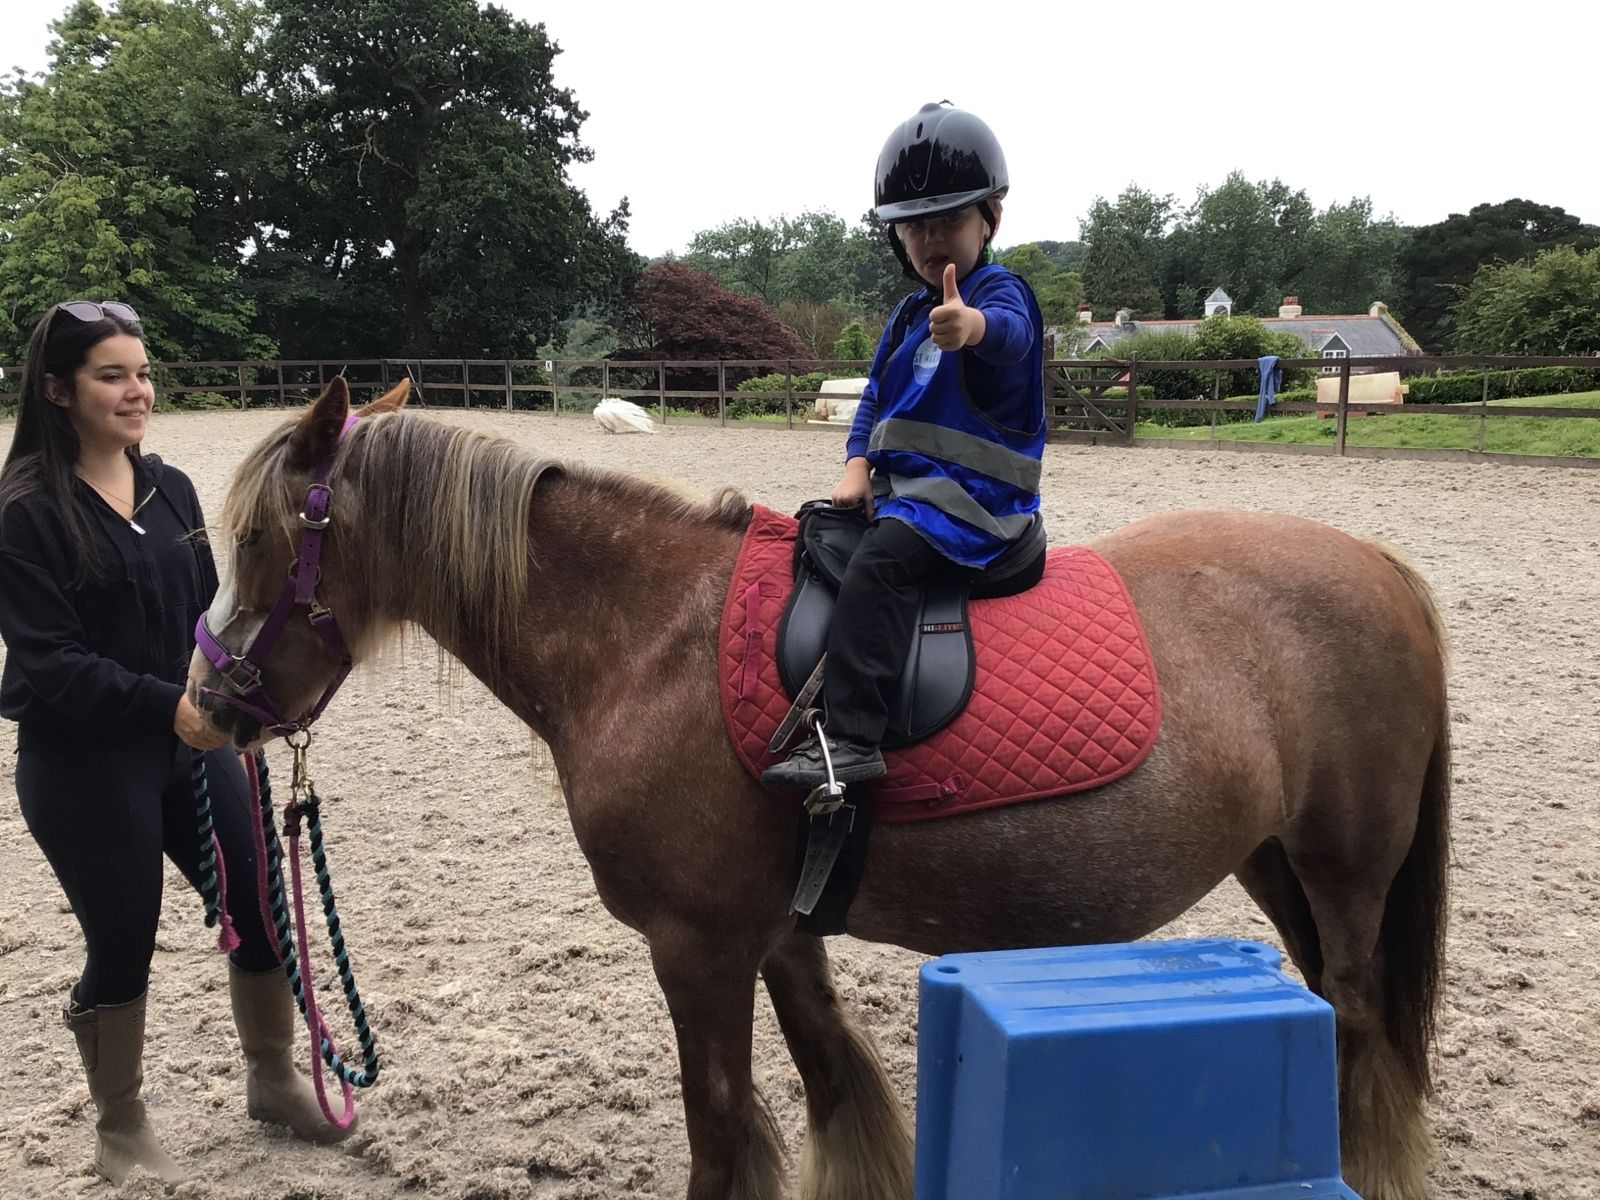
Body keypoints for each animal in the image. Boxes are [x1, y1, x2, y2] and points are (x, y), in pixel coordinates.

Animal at [188, 378, 1452, 1200]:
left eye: (253, 540)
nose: (197, 709)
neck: (649, 641)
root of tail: (1378, 565)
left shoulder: (696, 948)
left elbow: (718, 1133)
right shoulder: (779, 935)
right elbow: (832, 1086)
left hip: (1344, 875)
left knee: (1359, 1025)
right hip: (1276, 862)